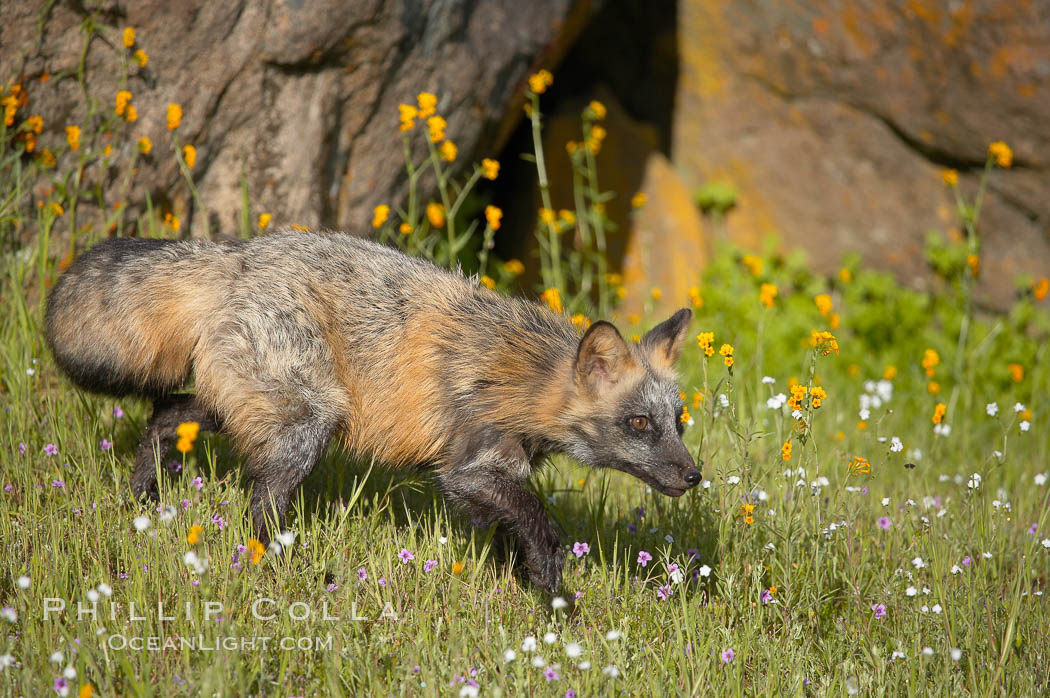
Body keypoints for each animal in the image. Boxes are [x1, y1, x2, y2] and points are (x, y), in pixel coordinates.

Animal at [45, 229, 701, 591]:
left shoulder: (498, 477)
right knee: (258, 510)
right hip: (308, 426)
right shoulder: (468, 470)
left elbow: (516, 536)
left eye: (678, 422)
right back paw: (284, 571)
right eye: (639, 424)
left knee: (163, 417)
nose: (694, 476)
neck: (519, 375)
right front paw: (556, 603)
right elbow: (540, 526)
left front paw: (529, 593)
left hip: (232, 405)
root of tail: (238, 254)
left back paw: (141, 502)